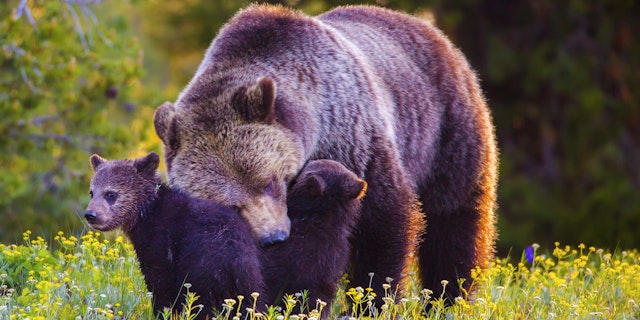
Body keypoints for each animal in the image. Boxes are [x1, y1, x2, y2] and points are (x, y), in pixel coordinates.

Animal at [154, 4, 496, 300]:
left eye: (269, 182)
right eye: (231, 205)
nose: (273, 237)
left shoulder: (354, 140)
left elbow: (384, 221)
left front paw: (372, 299)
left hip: (447, 130)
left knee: (454, 222)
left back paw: (449, 297)